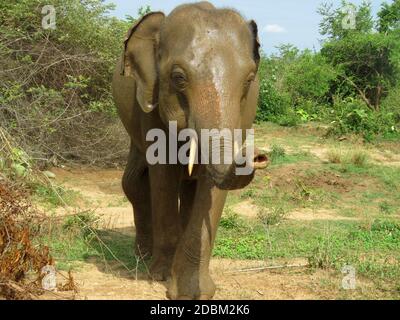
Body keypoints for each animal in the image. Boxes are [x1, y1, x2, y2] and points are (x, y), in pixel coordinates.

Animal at [112, 1, 268, 298]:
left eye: (249, 80)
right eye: (178, 78)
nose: (258, 156)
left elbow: (211, 188)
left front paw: (194, 292)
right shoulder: (150, 100)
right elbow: (162, 174)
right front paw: (160, 276)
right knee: (134, 182)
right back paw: (143, 257)